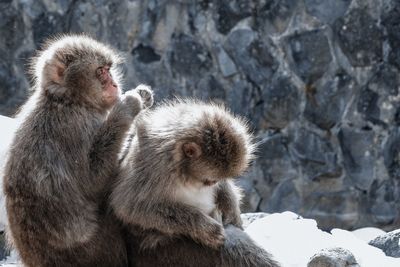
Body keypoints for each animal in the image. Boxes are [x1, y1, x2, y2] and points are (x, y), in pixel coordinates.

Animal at [3, 35, 153, 267]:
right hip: (97, 251)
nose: (114, 84)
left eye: (108, 69)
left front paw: (143, 96)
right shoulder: (75, 128)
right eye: (100, 71)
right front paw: (127, 107)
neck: (68, 100)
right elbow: (93, 182)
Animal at [111, 101, 280, 267]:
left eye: (213, 181)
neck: (182, 170)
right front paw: (207, 229)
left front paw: (232, 212)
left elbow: (224, 189)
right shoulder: (153, 166)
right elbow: (132, 207)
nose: (212, 183)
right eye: (208, 181)